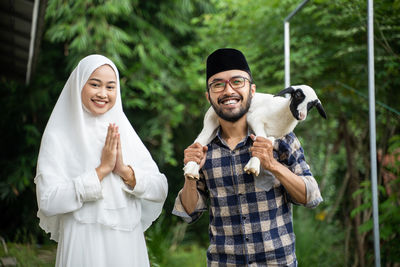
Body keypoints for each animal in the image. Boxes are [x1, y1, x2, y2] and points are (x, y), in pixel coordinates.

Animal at [183, 85, 326, 180]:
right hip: (210, 121)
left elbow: (266, 141)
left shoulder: (275, 135)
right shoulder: (254, 118)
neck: (282, 113)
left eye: (312, 105)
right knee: (199, 141)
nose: (301, 115)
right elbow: (261, 137)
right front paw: (253, 167)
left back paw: (192, 170)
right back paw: (190, 170)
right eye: (297, 95)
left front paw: (254, 163)